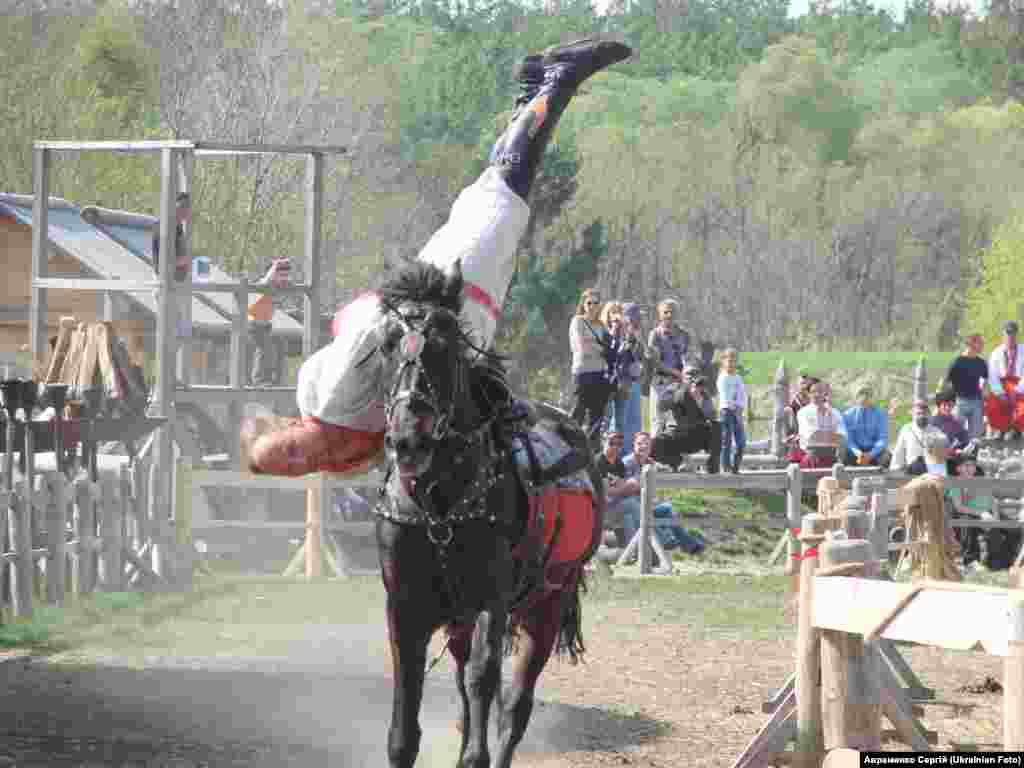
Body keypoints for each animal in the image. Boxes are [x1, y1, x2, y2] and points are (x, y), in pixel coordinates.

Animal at [372, 262, 602, 765]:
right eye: (387, 344)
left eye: (444, 343)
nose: (408, 438)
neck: (438, 508)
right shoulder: (405, 604)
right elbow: (405, 715)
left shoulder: (489, 602)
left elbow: (484, 678)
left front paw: (474, 754)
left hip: (547, 601)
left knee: (513, 706)